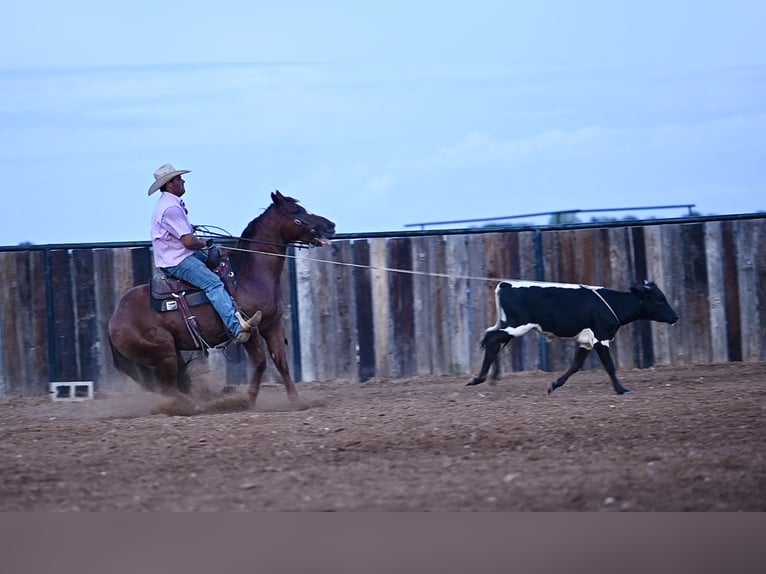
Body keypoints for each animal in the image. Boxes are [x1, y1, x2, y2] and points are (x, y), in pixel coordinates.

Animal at [108, 191, 336, 408]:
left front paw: (297, 401)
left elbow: (281, 362)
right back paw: (194, 406)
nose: (330, 225)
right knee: (169, 388)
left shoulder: (273, 325)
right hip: (164, 353)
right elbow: (261, 362)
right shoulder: (249, 329)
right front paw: (247, 400)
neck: (249, 274)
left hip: (171, 352)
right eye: (297, 212)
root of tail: (114, 319)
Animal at [468, 280, 680, 396]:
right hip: (517, 326)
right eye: (660, 300)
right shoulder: (601, 338)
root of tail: (506, 284)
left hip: (509, 325)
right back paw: (480, 378)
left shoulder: (585, 342)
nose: (675, 317)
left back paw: (490, 378)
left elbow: (575, 366)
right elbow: (609, 366)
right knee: (492, 339)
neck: (612, 303)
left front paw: (554, 385)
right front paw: (622, 390)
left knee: (493, 339)